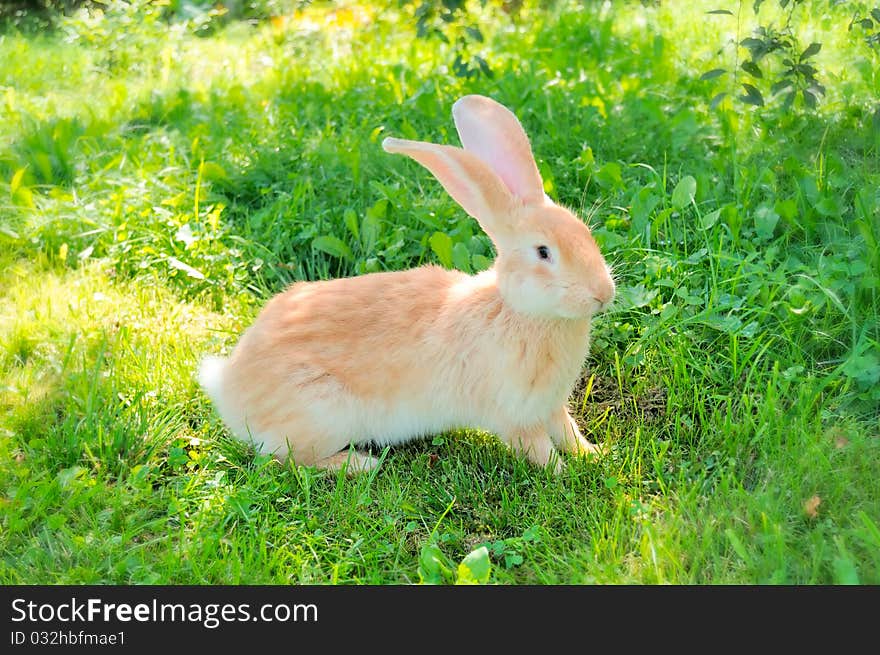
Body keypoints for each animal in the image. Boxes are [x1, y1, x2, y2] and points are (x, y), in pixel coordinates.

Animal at [198, 93, 620, 472]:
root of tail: (230, 388)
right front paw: (565, 475)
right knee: (285, 458)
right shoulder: (516, 415)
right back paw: (358, 464)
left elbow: (568, 433)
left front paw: (594, 456)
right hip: (321, 415)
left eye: (585, 232)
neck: (517, 311)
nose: (603, 294)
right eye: (544, 253)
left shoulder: (551, 406)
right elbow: (539, 450)